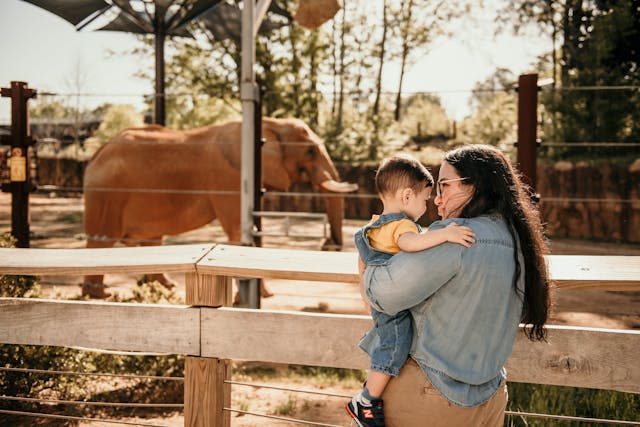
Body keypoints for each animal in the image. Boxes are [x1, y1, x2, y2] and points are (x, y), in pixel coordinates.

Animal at [82, 117, 358, 298]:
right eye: (310, 151)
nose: (328, 244)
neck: (270, 123)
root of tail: (96, 154)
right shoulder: (230, 177)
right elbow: (237, 231)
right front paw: (261, 296)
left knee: (149, 240)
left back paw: (165, 288)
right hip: (107, 195)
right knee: (101, 240)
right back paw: (100, 296)